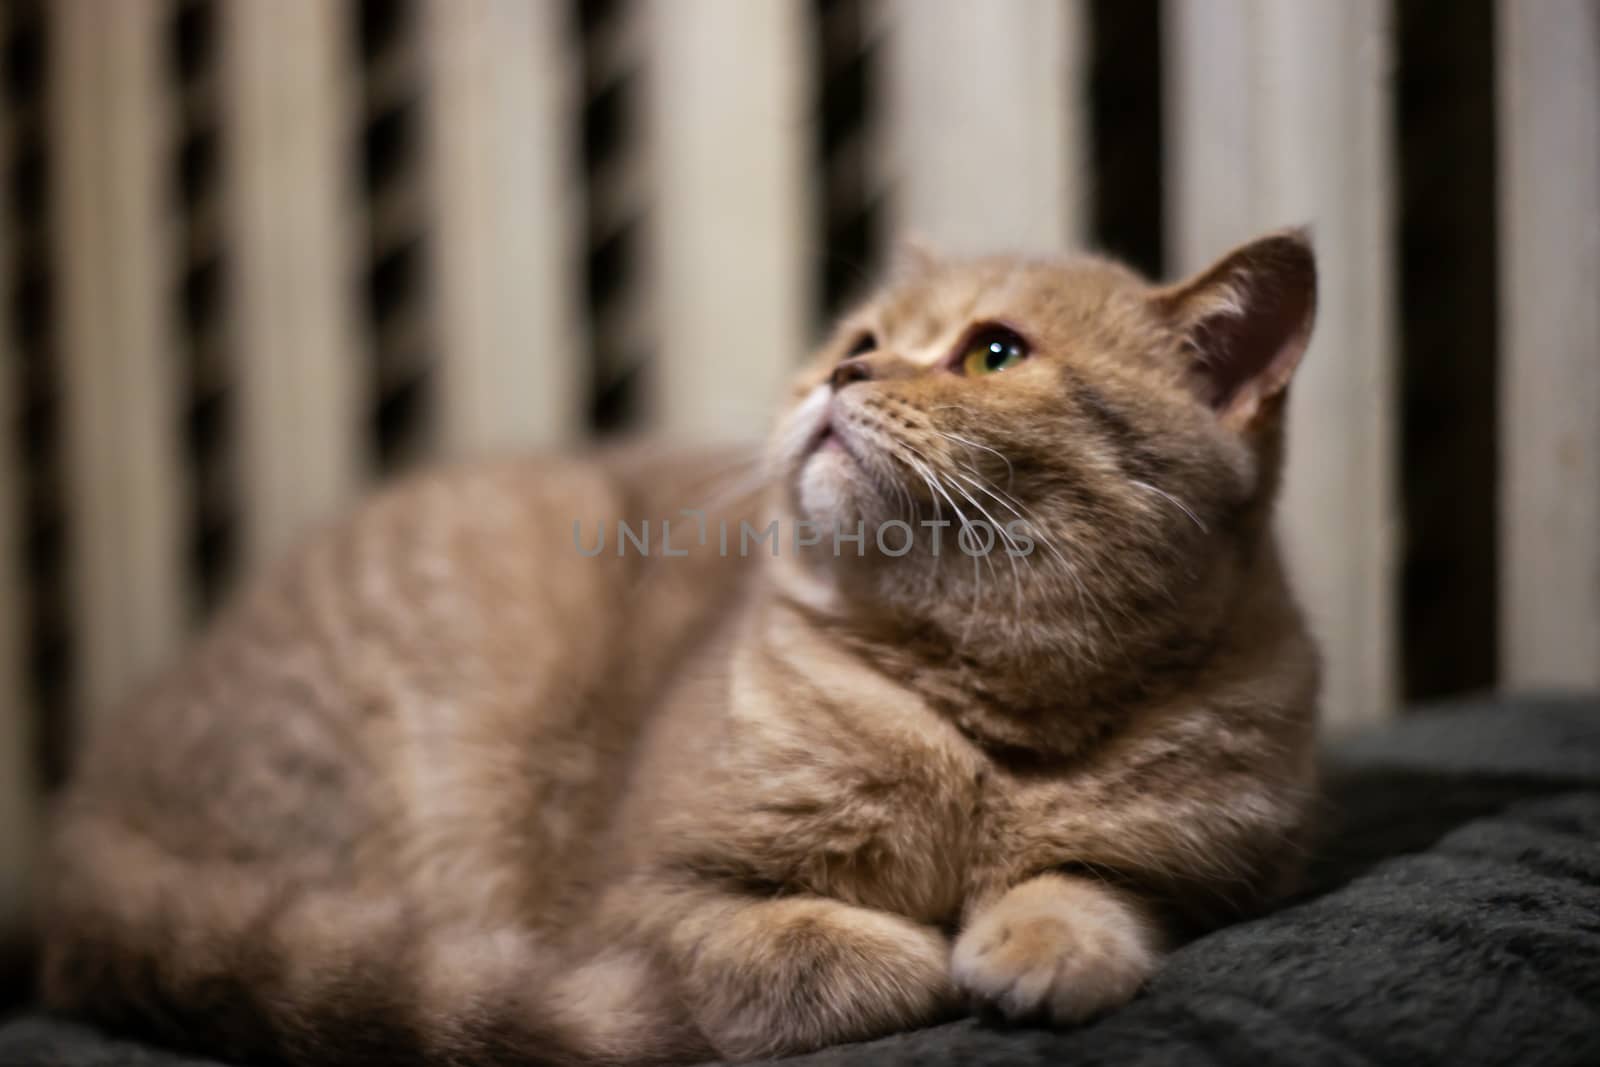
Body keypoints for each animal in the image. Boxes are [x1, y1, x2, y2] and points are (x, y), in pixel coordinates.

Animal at [40, 233, 1324, 1067]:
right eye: (863, 336)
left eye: (993, 353)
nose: (843, 372)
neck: (978, 728)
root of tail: (88, 814)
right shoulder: (642, 901)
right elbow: (822, 945)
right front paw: (922, 949)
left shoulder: (1222, 865)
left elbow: (1099, 882)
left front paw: (1042, 936)